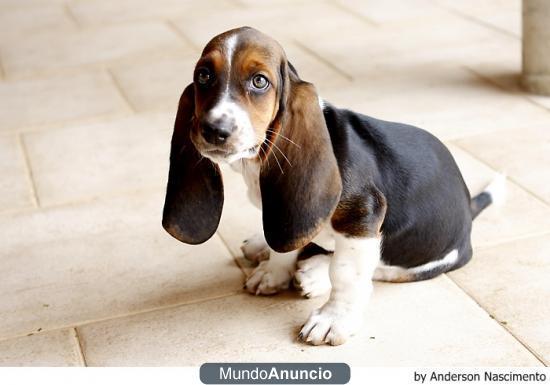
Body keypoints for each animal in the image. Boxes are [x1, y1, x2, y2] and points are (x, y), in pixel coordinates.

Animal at [162, 27, 506, 344]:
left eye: (259, 81)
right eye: (203, 75)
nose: (214, 130)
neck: (256, 161)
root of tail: (469, 206)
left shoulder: (362, 217)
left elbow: (346, 274)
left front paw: (333, 318)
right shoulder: (288, 215)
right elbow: (286, 244)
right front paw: (274, 272)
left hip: (418, 259)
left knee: (377, 269)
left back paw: (315, 275)